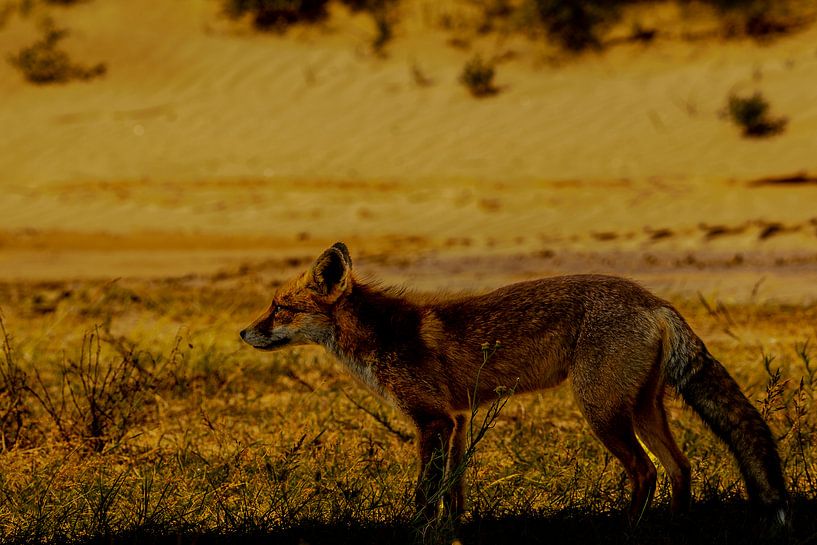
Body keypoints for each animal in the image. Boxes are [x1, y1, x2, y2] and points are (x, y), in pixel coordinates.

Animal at [240, 242, 788, 526]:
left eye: (279, 308)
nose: (243, 333)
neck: (381, 337)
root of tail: (652, 299)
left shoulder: (432, 420)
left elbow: (424, 495)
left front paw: (420, 533)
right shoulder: (458, 418)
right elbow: (454, 492)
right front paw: (454, 534)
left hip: (602, 412)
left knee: (646, 472)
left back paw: (630, 532)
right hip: (643, 408)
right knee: (680, 467)